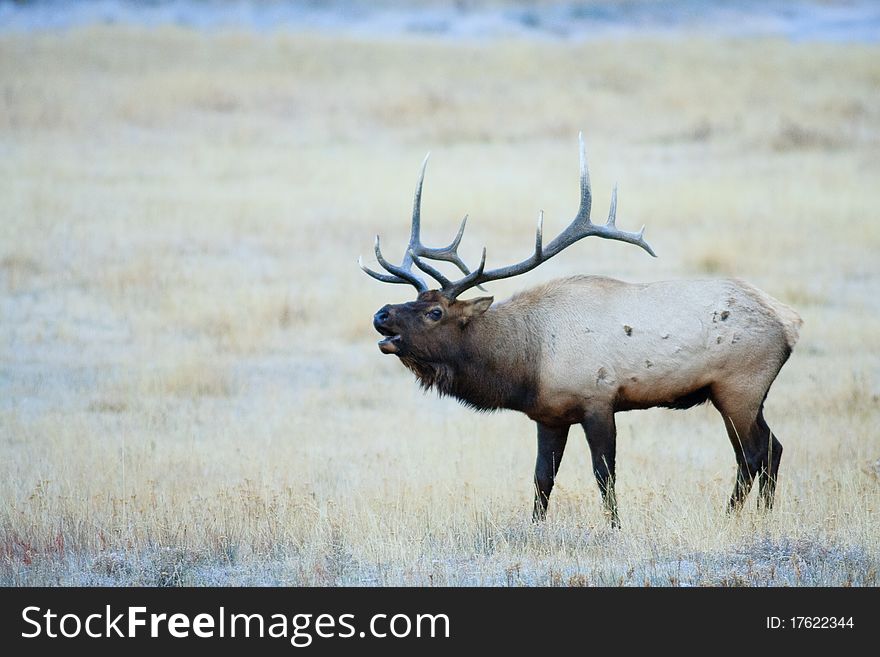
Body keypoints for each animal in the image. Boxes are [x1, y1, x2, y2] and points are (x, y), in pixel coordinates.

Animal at [360, 135, 800, 528]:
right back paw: (761, 516)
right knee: (772, 448)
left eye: (435, 312)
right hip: (744, 394)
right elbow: (542, 478)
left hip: (738, 387)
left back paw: (735, 518)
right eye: (414, 300)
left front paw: (615, 528)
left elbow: (604, 475)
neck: (527, 363)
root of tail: (790, 322)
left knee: (754, 453)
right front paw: (534, 527)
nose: (381, 314)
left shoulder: (598, 400)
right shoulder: (549, 415)